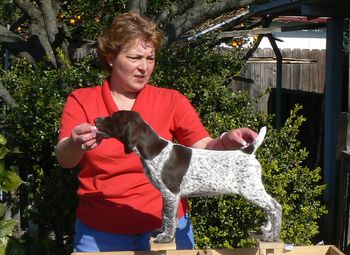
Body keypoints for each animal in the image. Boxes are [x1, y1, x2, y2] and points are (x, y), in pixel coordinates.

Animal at [94, 110, 284, 244]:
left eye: (114, 116)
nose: (95, 120)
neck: (154, 151)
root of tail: (247, 151)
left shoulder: (171, 192)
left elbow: (169, 217)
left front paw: (166, 237)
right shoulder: (167, 194)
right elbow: (165, 214)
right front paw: (161, 231)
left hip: (250, 189)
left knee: (275, 206)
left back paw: (272, 236)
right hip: (253, 189)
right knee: (270, 206)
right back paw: (268, 230)